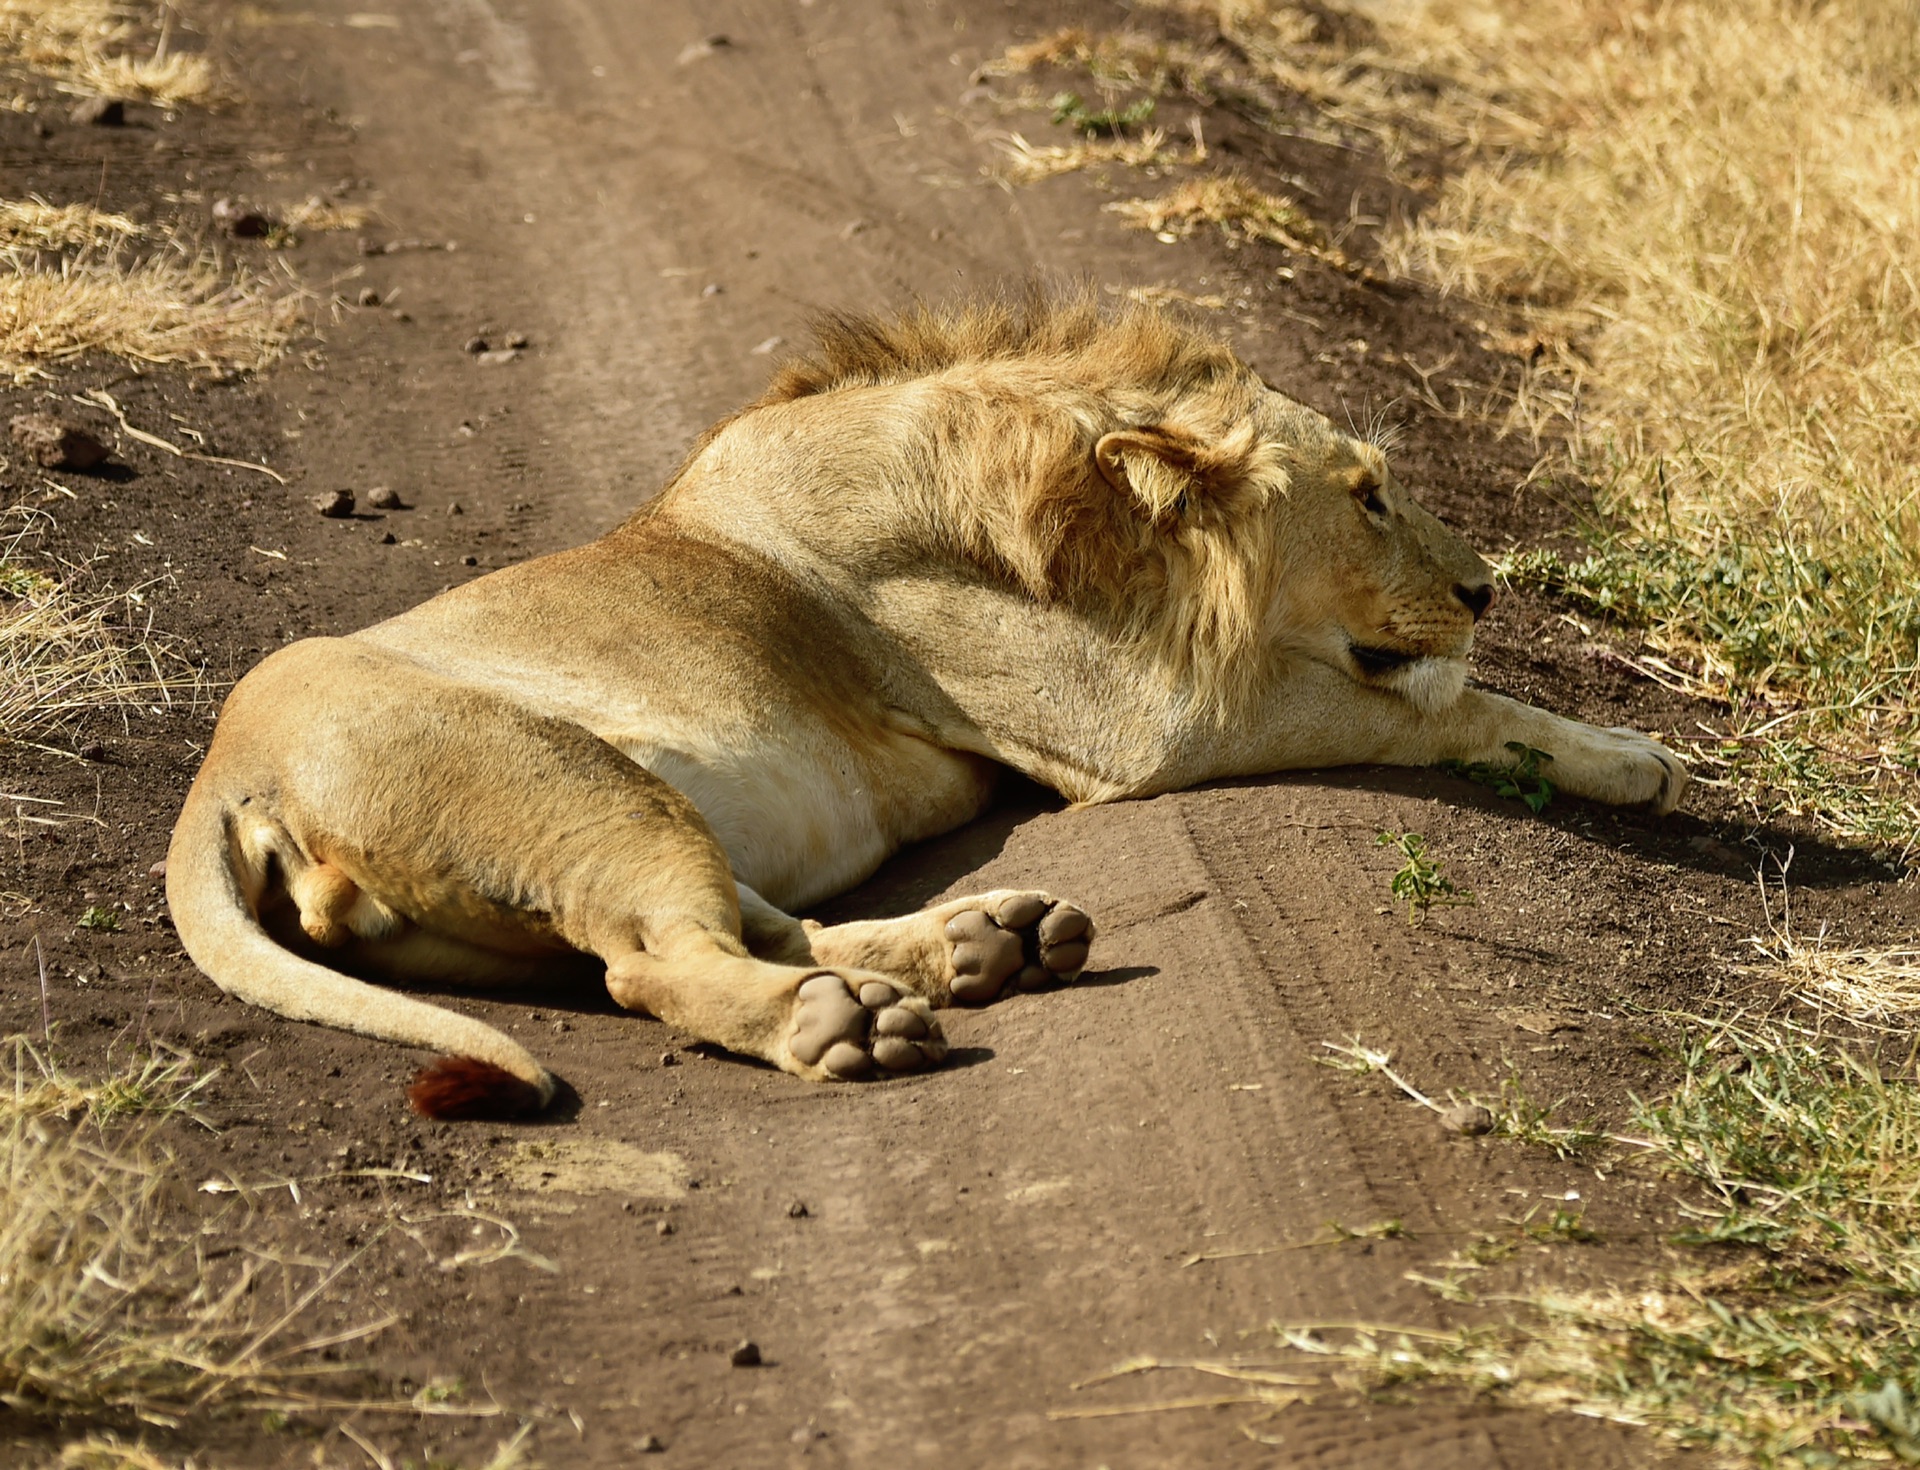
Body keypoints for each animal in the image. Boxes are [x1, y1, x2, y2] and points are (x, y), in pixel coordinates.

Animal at [172, 293, 1689, 1120]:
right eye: (1370, 495)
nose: (1487, 586)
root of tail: (222, 776)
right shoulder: (1138, 731)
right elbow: (1423, 709)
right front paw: (1637, 755)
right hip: (572, 786)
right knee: (656, 963)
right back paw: (845, 1026)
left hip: (617, 827)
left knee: (760, 926)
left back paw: (982, 946)